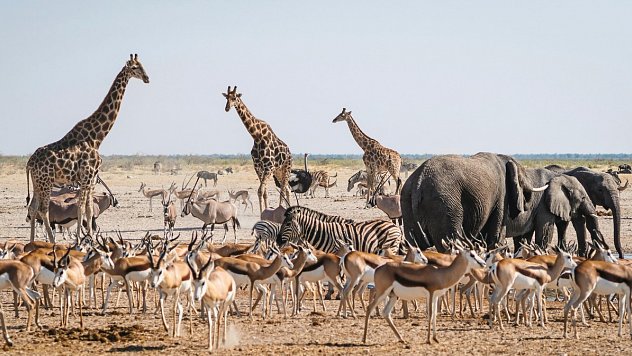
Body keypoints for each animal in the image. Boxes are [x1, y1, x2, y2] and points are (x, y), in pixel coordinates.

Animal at [25, 53, 149, 242]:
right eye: (135, 68)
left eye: (143, 66)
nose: (147, 78)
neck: (97, 137)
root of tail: (29, 163)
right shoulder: (87, 176)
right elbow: (81, 208)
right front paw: (80, 240)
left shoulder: (91, 178)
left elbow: (89, 210)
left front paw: (90, 239)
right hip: (46, 182)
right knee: (43, 210)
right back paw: (52, 242)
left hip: (37, 182)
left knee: (33, 208)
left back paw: (32, 242)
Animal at [222, 86, 292, 214]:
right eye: (226, 98)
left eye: (234, 98)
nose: (227, 108)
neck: (257, 136)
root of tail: (290, 152)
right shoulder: (258, 167)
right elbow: (263, 192)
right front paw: (263, 212)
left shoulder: (268, 167)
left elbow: (260, 190)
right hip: (278, 171)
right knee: (287, 189)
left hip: (286, 168)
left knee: (283, 189)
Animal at [404, 152, 548, 250]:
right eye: (522, 180)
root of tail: (419, 180)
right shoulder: (502, 195)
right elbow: (495, 237)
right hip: (444, 204)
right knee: (450, 243)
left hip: (407, 200)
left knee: (413, 245)